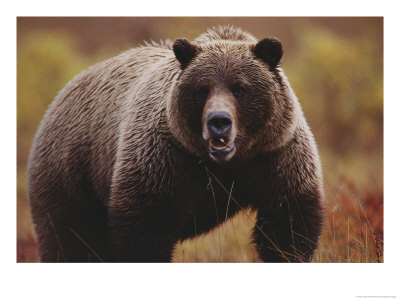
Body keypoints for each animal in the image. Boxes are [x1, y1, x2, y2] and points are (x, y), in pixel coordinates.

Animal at [27, 25, 322, 262]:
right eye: (202, 89)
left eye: (240, 88)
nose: (219, 121)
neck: (225, 163)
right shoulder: (164, 159)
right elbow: (144, 232)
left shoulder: (275, 156)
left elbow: (287, 228)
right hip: (72, 172)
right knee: (69, 238)